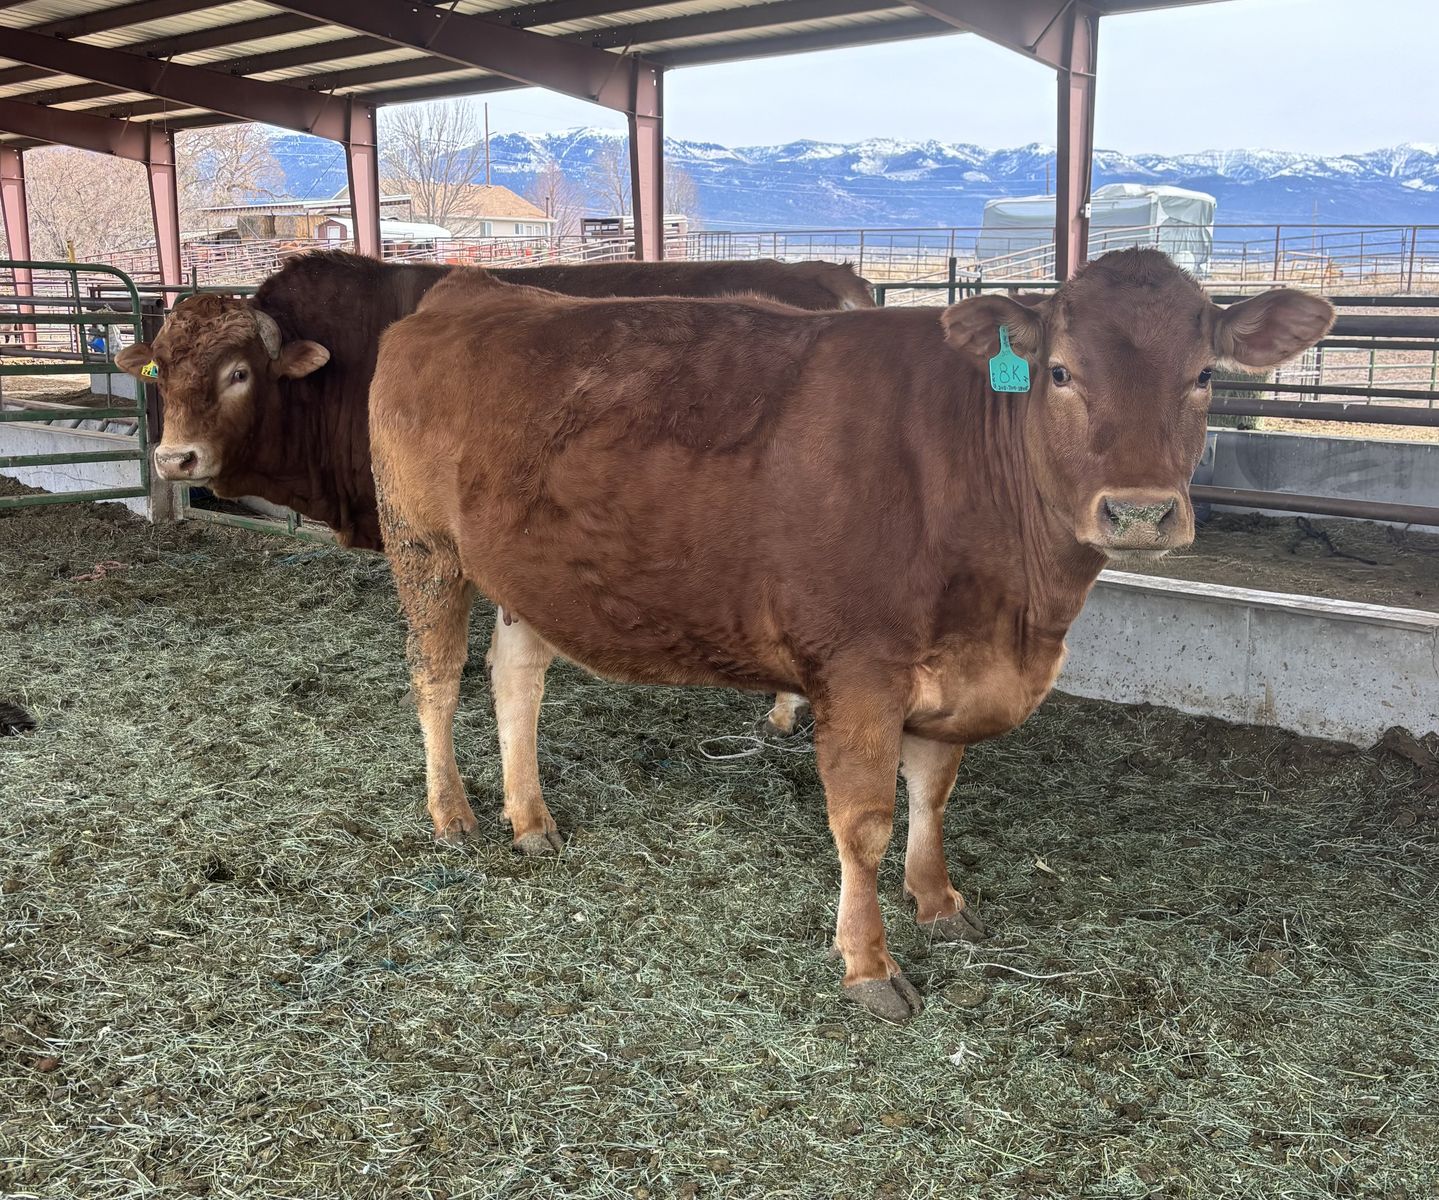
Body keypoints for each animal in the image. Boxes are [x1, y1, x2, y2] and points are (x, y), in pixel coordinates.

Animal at [367, 248, 1333, 1021]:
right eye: (1059, 372)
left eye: (1203, 374)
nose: (1138, 512)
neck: (1016, 614)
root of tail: (470, 289)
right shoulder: (859, 671)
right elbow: (864, 821)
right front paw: (868, 963)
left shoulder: (953, 670)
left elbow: (933, 792)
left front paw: (938, 901)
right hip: (422, 544)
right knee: (436, 676)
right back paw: (453, 814)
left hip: (530, 575)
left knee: (515, 674)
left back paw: (531, 819)